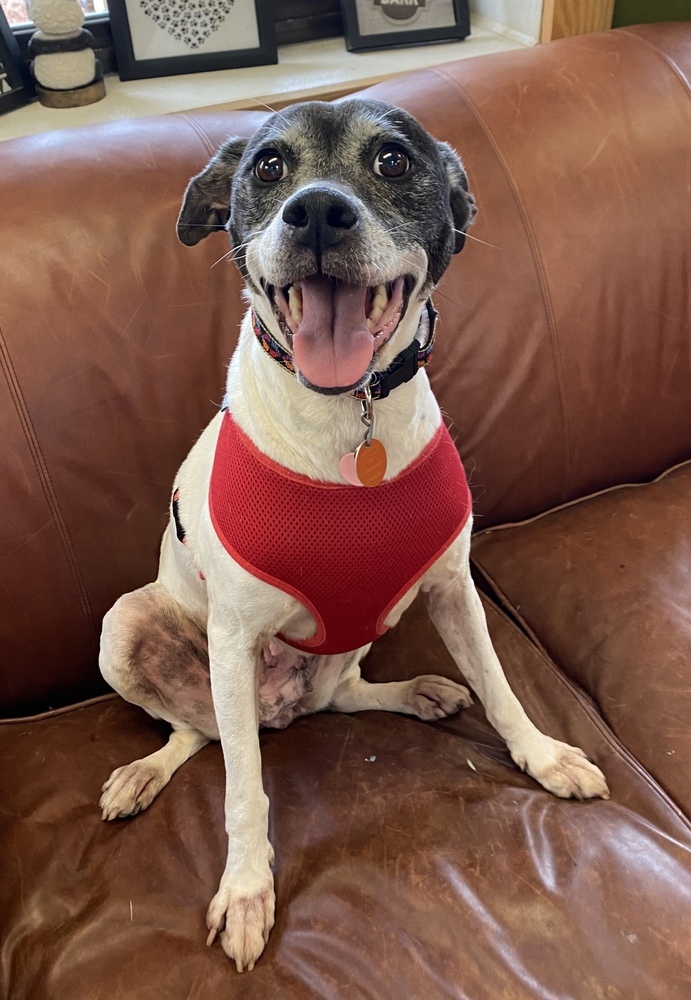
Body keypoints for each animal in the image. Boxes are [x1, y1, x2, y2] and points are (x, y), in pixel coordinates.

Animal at [98, 97, 612, 972]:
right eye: (269, 166)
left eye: (394, 160)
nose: (315, 213)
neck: (347, 414)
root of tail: (279, 710)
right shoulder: (232, 637)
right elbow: (243, 791)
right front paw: (246, 890)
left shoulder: (453, 589)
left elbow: (501, 688)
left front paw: (542, 755)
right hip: (133, 630)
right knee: (204, 734)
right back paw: (146, 771)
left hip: (355, 635)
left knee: (334, 699)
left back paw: (417, 692)